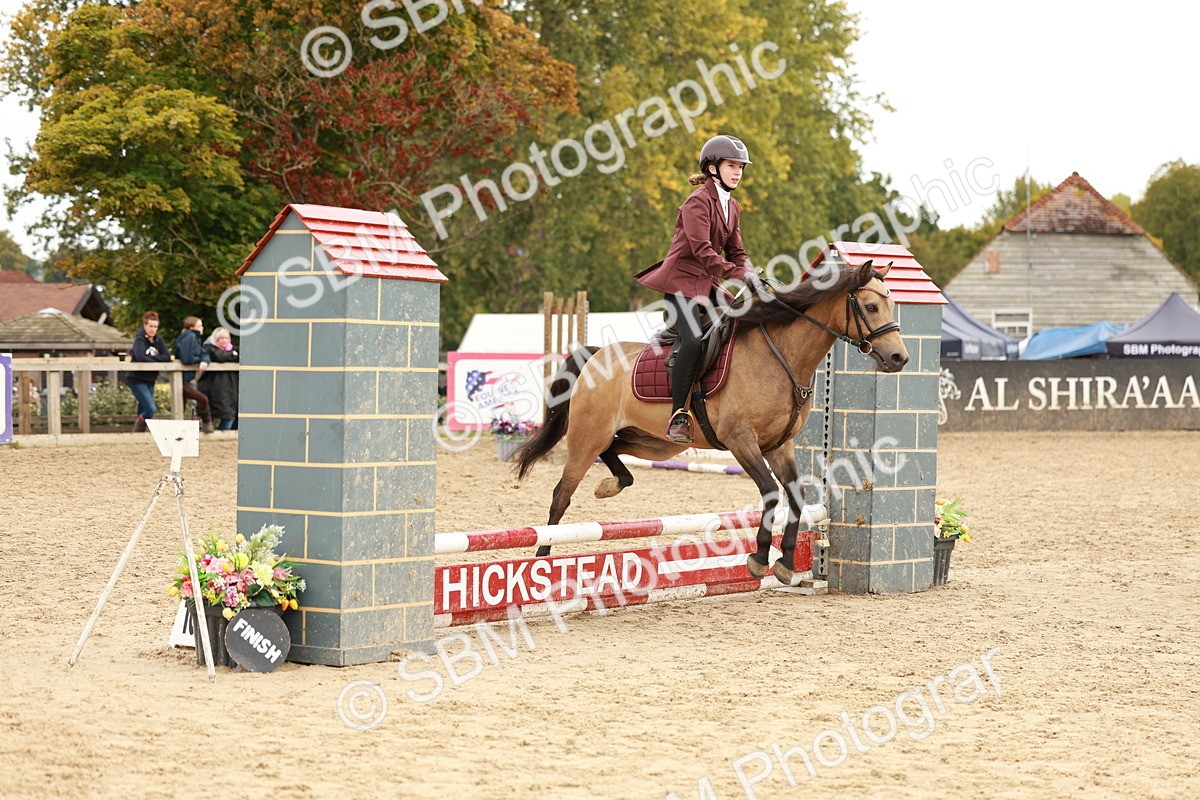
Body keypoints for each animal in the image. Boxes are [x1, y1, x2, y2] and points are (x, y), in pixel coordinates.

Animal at [514, 260, 909, 584]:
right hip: (588, 436)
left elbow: (795, 495)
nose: (899, 358)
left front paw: (785, 563)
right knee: (561, 494)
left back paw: (609, 486)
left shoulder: (780, 446)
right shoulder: (740, 440)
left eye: (892, 306)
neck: (783, 356)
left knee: (616, 456)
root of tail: (596, 356)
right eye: (871, 306)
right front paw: (759, 558)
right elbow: (769, 491)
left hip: (652, 442)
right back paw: (543, 560)